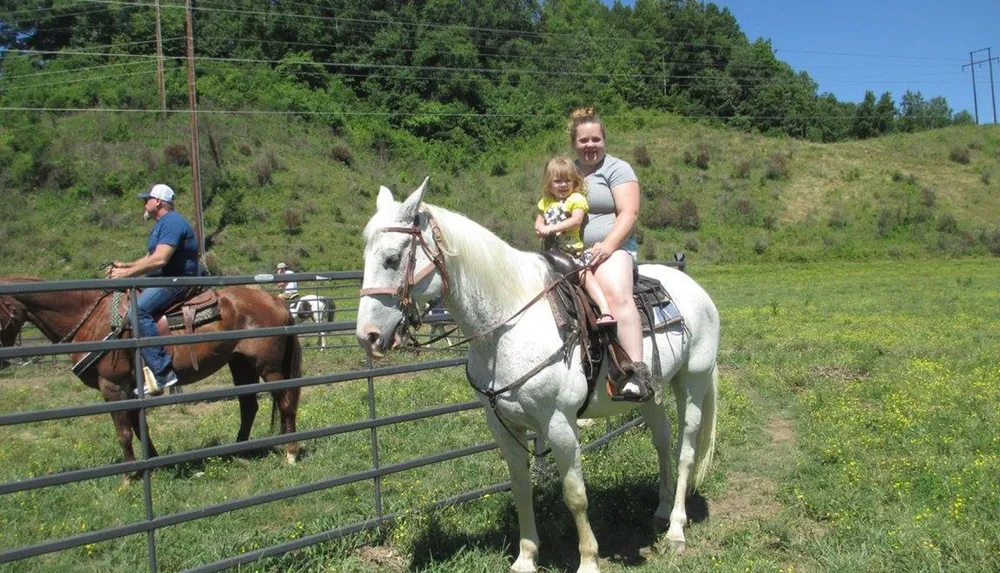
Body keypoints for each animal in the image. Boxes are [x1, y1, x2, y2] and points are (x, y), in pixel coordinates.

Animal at [1, 278, 302, 478]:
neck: (93, 320)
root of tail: (274, 300)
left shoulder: (112, 387)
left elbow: (123, 431)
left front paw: (129, 477)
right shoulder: (130, 388)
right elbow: (138, 427)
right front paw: (151, 464)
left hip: (268, 367)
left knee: (285, 403)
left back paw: (290, 452)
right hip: (240, 364)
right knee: (249, 405)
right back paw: (239, 450)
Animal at [358, 179, 720, 572]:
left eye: (392, 259)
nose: (367, 336)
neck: (509, 323)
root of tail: (695, 289)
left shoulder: (559, 423)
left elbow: (575, 494)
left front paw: (588, 560)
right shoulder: (502, 425)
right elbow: (520, 487)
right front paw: (526, 557)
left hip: (694, 380)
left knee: (686, 449)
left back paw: (676, 530)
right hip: (650, 391)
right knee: (663, 440)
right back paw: (661, 509)